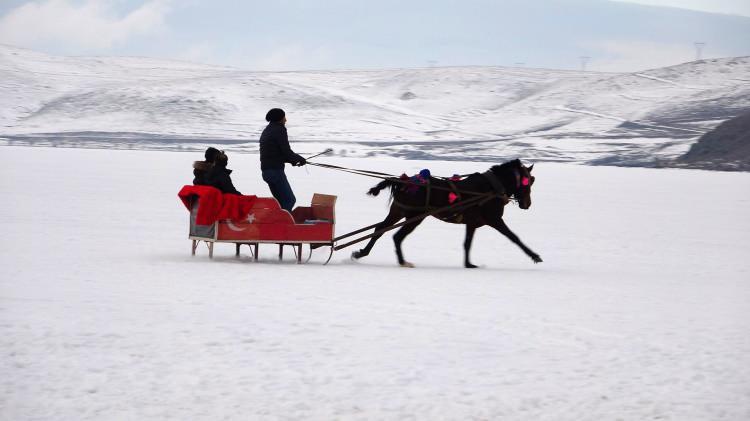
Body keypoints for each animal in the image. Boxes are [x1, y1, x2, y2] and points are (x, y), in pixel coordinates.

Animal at [352, 159, 540, 268]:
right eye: (528, 181)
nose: (527, 204)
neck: (491, 189)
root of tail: (403, 181)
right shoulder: (494, 219)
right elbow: (514, 237)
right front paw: (535, 256)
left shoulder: (472, 223)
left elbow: (467, 243)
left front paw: (469, 264)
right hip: (413, 217)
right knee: (396, 236)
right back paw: (402, 261)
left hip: (398, 212)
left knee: (379, 230)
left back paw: (362, 252)